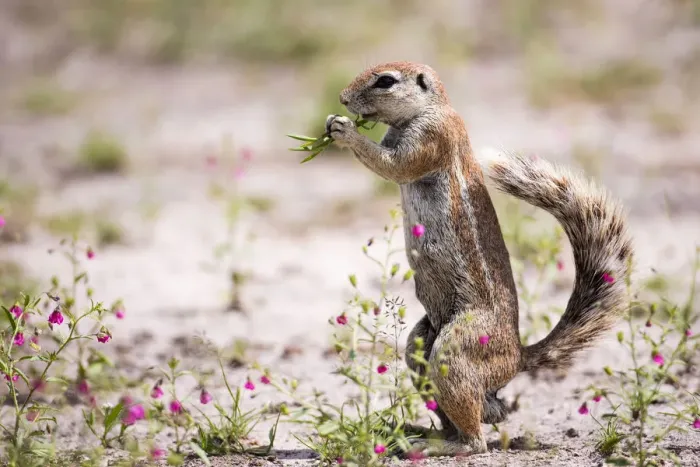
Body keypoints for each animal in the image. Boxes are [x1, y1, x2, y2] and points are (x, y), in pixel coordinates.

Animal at [324, 61, 633, 457]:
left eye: (386, 81)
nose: (342, 98)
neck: (430, 109)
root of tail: (517, 356)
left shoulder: (431, 138)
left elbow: (393, 165)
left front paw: (342, 129)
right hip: (421, 346)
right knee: (477, 411)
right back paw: (425, 432)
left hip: (455, 351)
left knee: (477, 441)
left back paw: (439, 446)